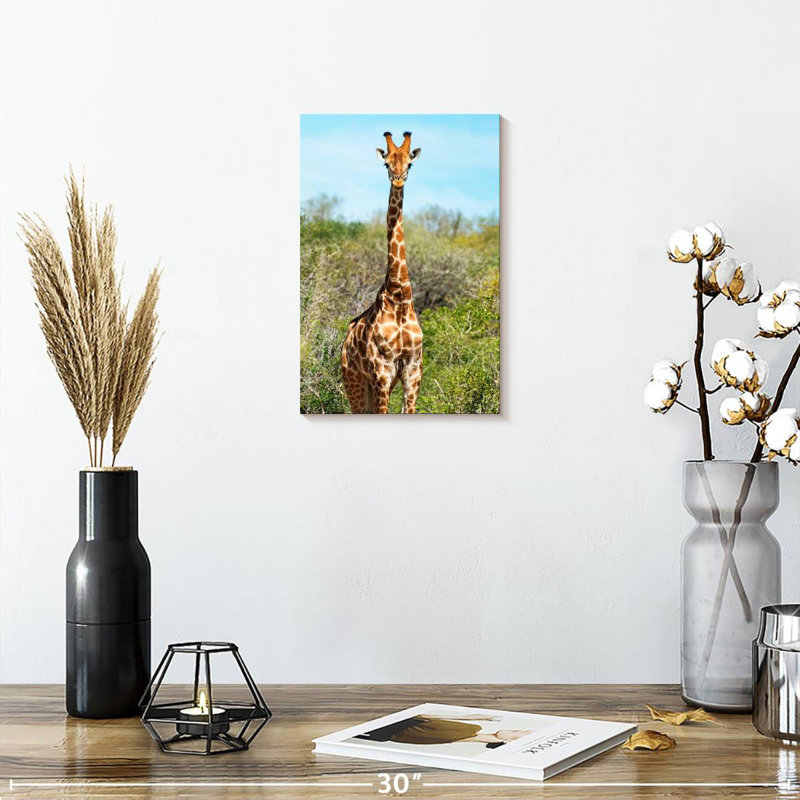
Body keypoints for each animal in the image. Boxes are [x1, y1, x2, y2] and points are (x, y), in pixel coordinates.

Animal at [341, 131, 423, 414]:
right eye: (387, 163)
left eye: (409, 164)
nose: (398, 180)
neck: (400, 295)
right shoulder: (382, 370)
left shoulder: (413, 370)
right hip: (354, 380)